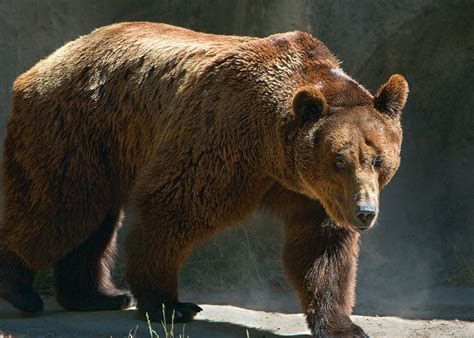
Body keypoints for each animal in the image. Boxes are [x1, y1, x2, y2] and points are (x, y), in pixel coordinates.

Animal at [0, 22, 408, 336]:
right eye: (339, 160)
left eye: (378, 160)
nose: (365, 212)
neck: (272, 152)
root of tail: (47, 61)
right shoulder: (222, 139)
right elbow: (173, 209)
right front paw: (169, 304)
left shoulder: (314, 195)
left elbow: (321, 250)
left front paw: (343, 324)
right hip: (76, 128)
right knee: (59, 212)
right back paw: (21, 289)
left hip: (102, 150)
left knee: (91, 225)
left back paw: (98, 296)